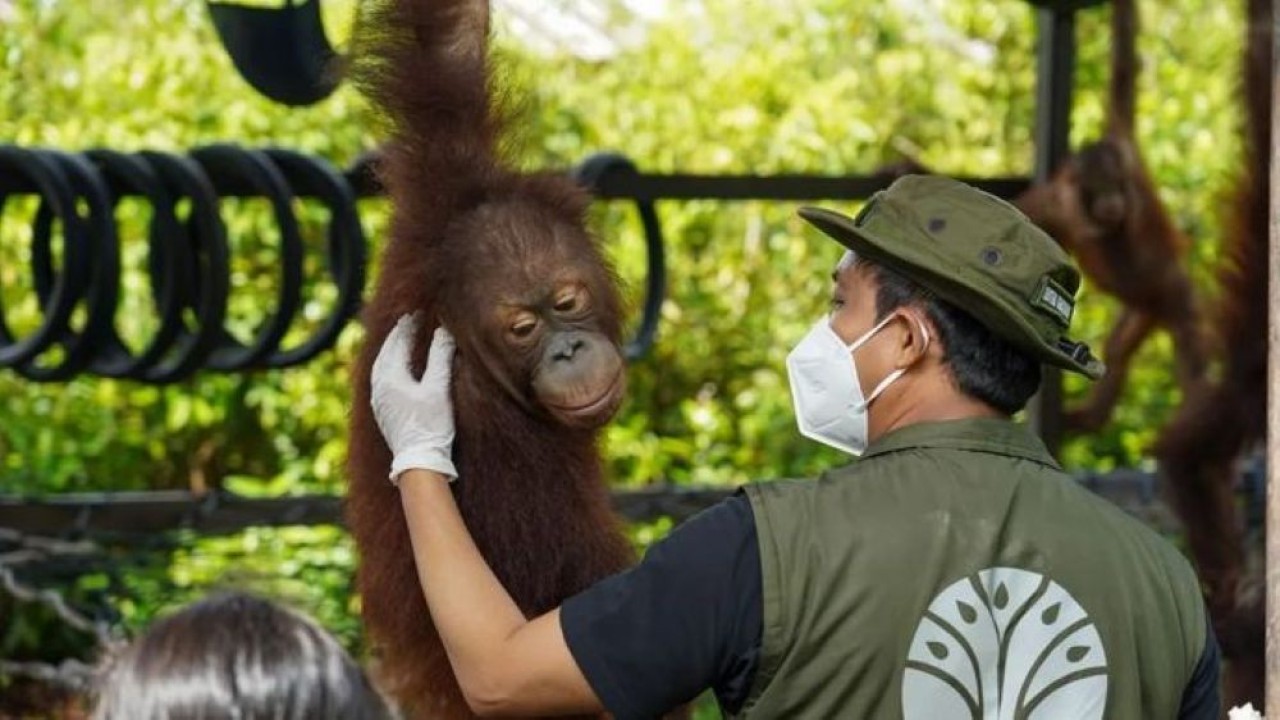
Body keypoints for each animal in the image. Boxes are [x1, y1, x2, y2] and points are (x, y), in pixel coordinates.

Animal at [343, 1, 636, 717]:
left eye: (567, 299)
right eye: (523, 328)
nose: (567, 349)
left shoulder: (442, 189)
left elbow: (445, 45)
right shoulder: (501, 453)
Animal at [1013, 0, 1207, 434]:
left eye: (1116, 183)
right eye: (1097, 188)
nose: (1113, 201)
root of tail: (1153, 308)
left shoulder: (1124, 144)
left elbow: (1124, 65)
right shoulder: (1055, 202)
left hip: (1168, 292)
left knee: (1188, 332)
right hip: (1141, 310)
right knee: (1119, 349)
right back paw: (1088, 418)